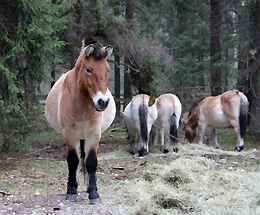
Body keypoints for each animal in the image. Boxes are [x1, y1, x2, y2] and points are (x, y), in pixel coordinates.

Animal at [44, 35, 115, 203]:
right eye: (88, 69)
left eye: (107, 70)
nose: (103, 102)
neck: (82, 104)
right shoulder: (70, 133)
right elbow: (73, 161)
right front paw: (71, 191)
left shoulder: (94, 133)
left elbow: (91, 161)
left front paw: (94, 193)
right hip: (77, 136)